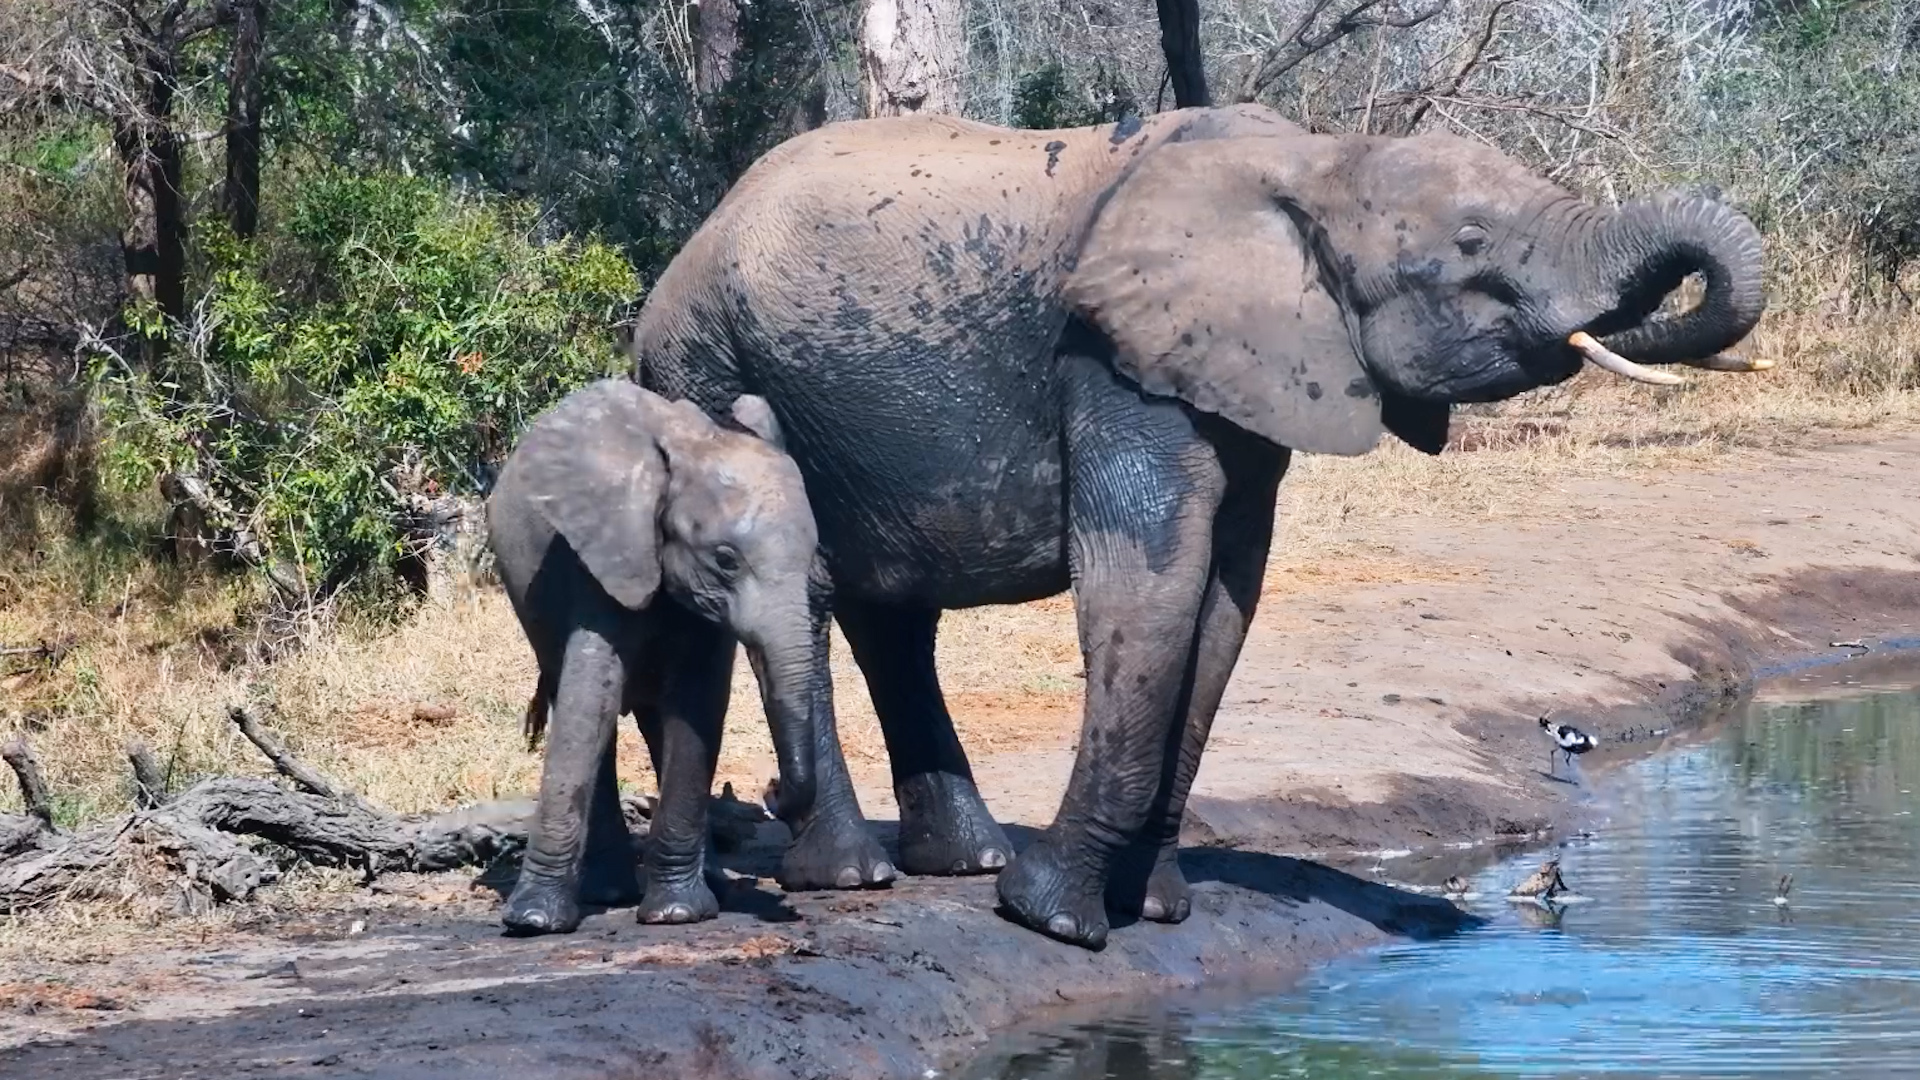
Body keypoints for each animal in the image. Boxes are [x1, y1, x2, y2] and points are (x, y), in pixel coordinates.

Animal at [486, 378, 828, 934]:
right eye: (725, 561)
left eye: (814, 554)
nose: (771, 787)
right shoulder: (602, 554)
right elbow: (589, 701)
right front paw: (533, 922)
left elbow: (697, 706)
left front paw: (677, 914)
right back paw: (607, 893)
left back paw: (704, 885)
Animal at [630, 103, 1766, 948]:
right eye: (1473, 243)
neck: (1314, 160)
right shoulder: (1115, 356)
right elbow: (1151, 583)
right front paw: (1054, 920)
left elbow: (1224, 601)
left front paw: (1154, 908)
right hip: (712, 367)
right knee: (814, 590)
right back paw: (859, 877)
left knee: (892, 617)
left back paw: (965, 861)